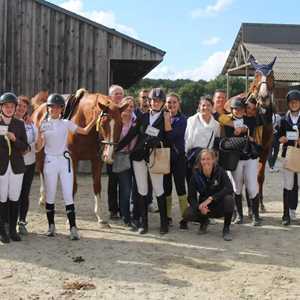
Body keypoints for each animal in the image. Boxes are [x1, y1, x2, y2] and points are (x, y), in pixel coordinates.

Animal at [31, 89, 127, 225]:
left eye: (121, 124)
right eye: (103, 123)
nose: (108, 155)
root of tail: (38, 109)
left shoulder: (97, 160)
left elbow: (97, 186)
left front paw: (100, 217)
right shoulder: (73, 159)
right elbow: (73, 186)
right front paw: (69, 218)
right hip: (40, 153)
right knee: (42, 172)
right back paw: (43, 198)